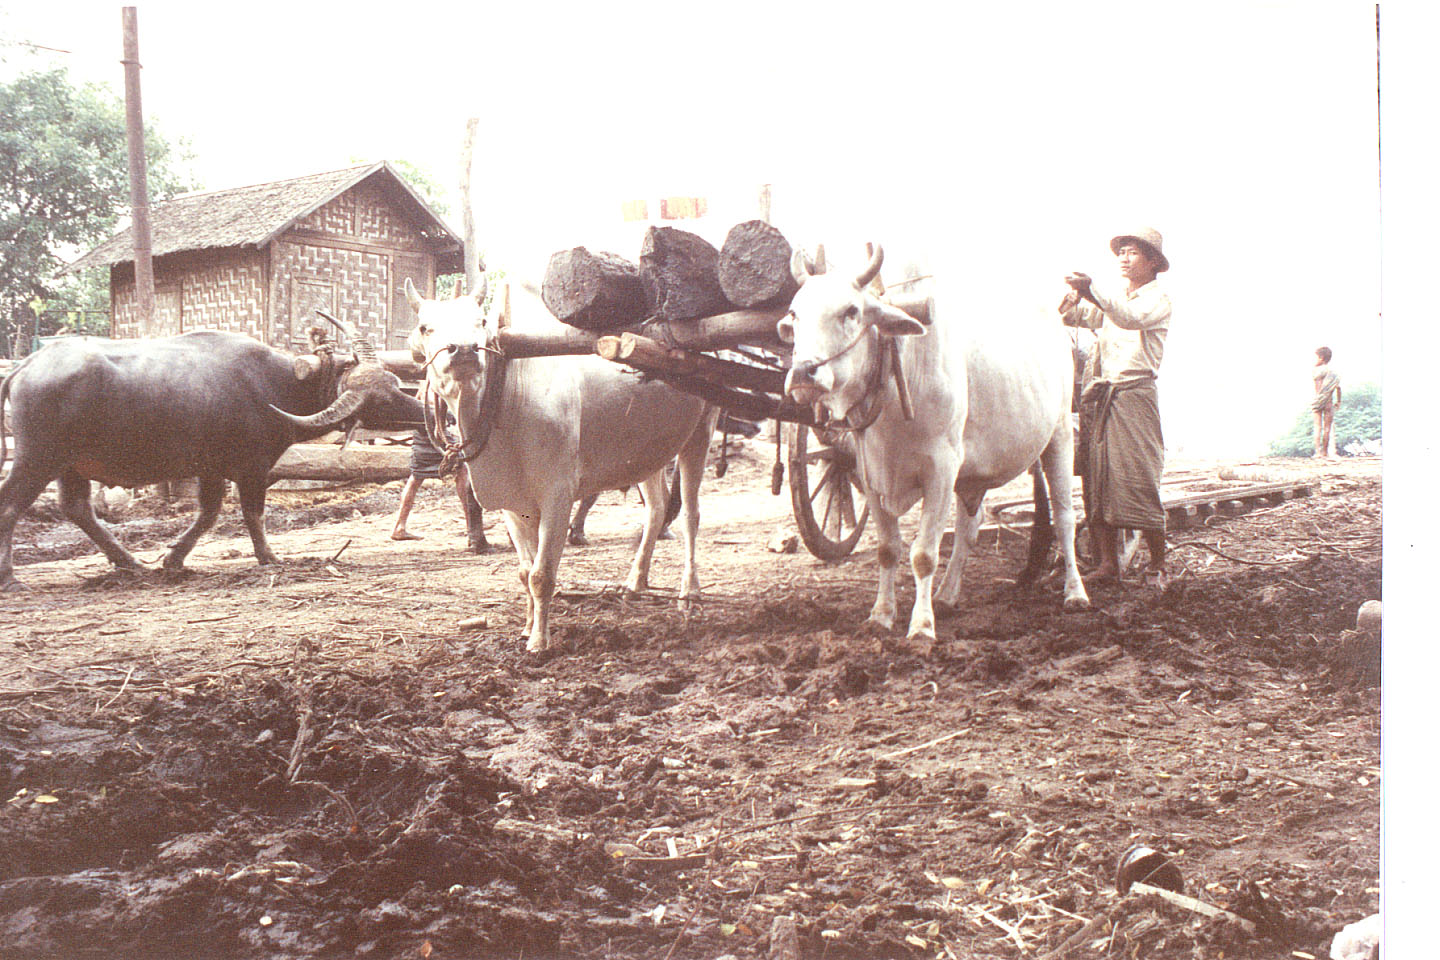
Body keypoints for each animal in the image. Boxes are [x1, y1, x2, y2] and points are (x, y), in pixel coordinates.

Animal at [1, 326, 420, 590]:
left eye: (392, 383)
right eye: (379, 400)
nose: (421, 410)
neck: (277, 384)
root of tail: (26, 366)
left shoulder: (211, 469)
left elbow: (209, 513)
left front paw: (173, 559)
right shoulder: (251, 468)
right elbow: (251, 513)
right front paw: (269, 557)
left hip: (70, 465)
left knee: (77, 509)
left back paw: (130, 562)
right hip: (37, 459)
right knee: (12, 506)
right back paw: (10, 577)